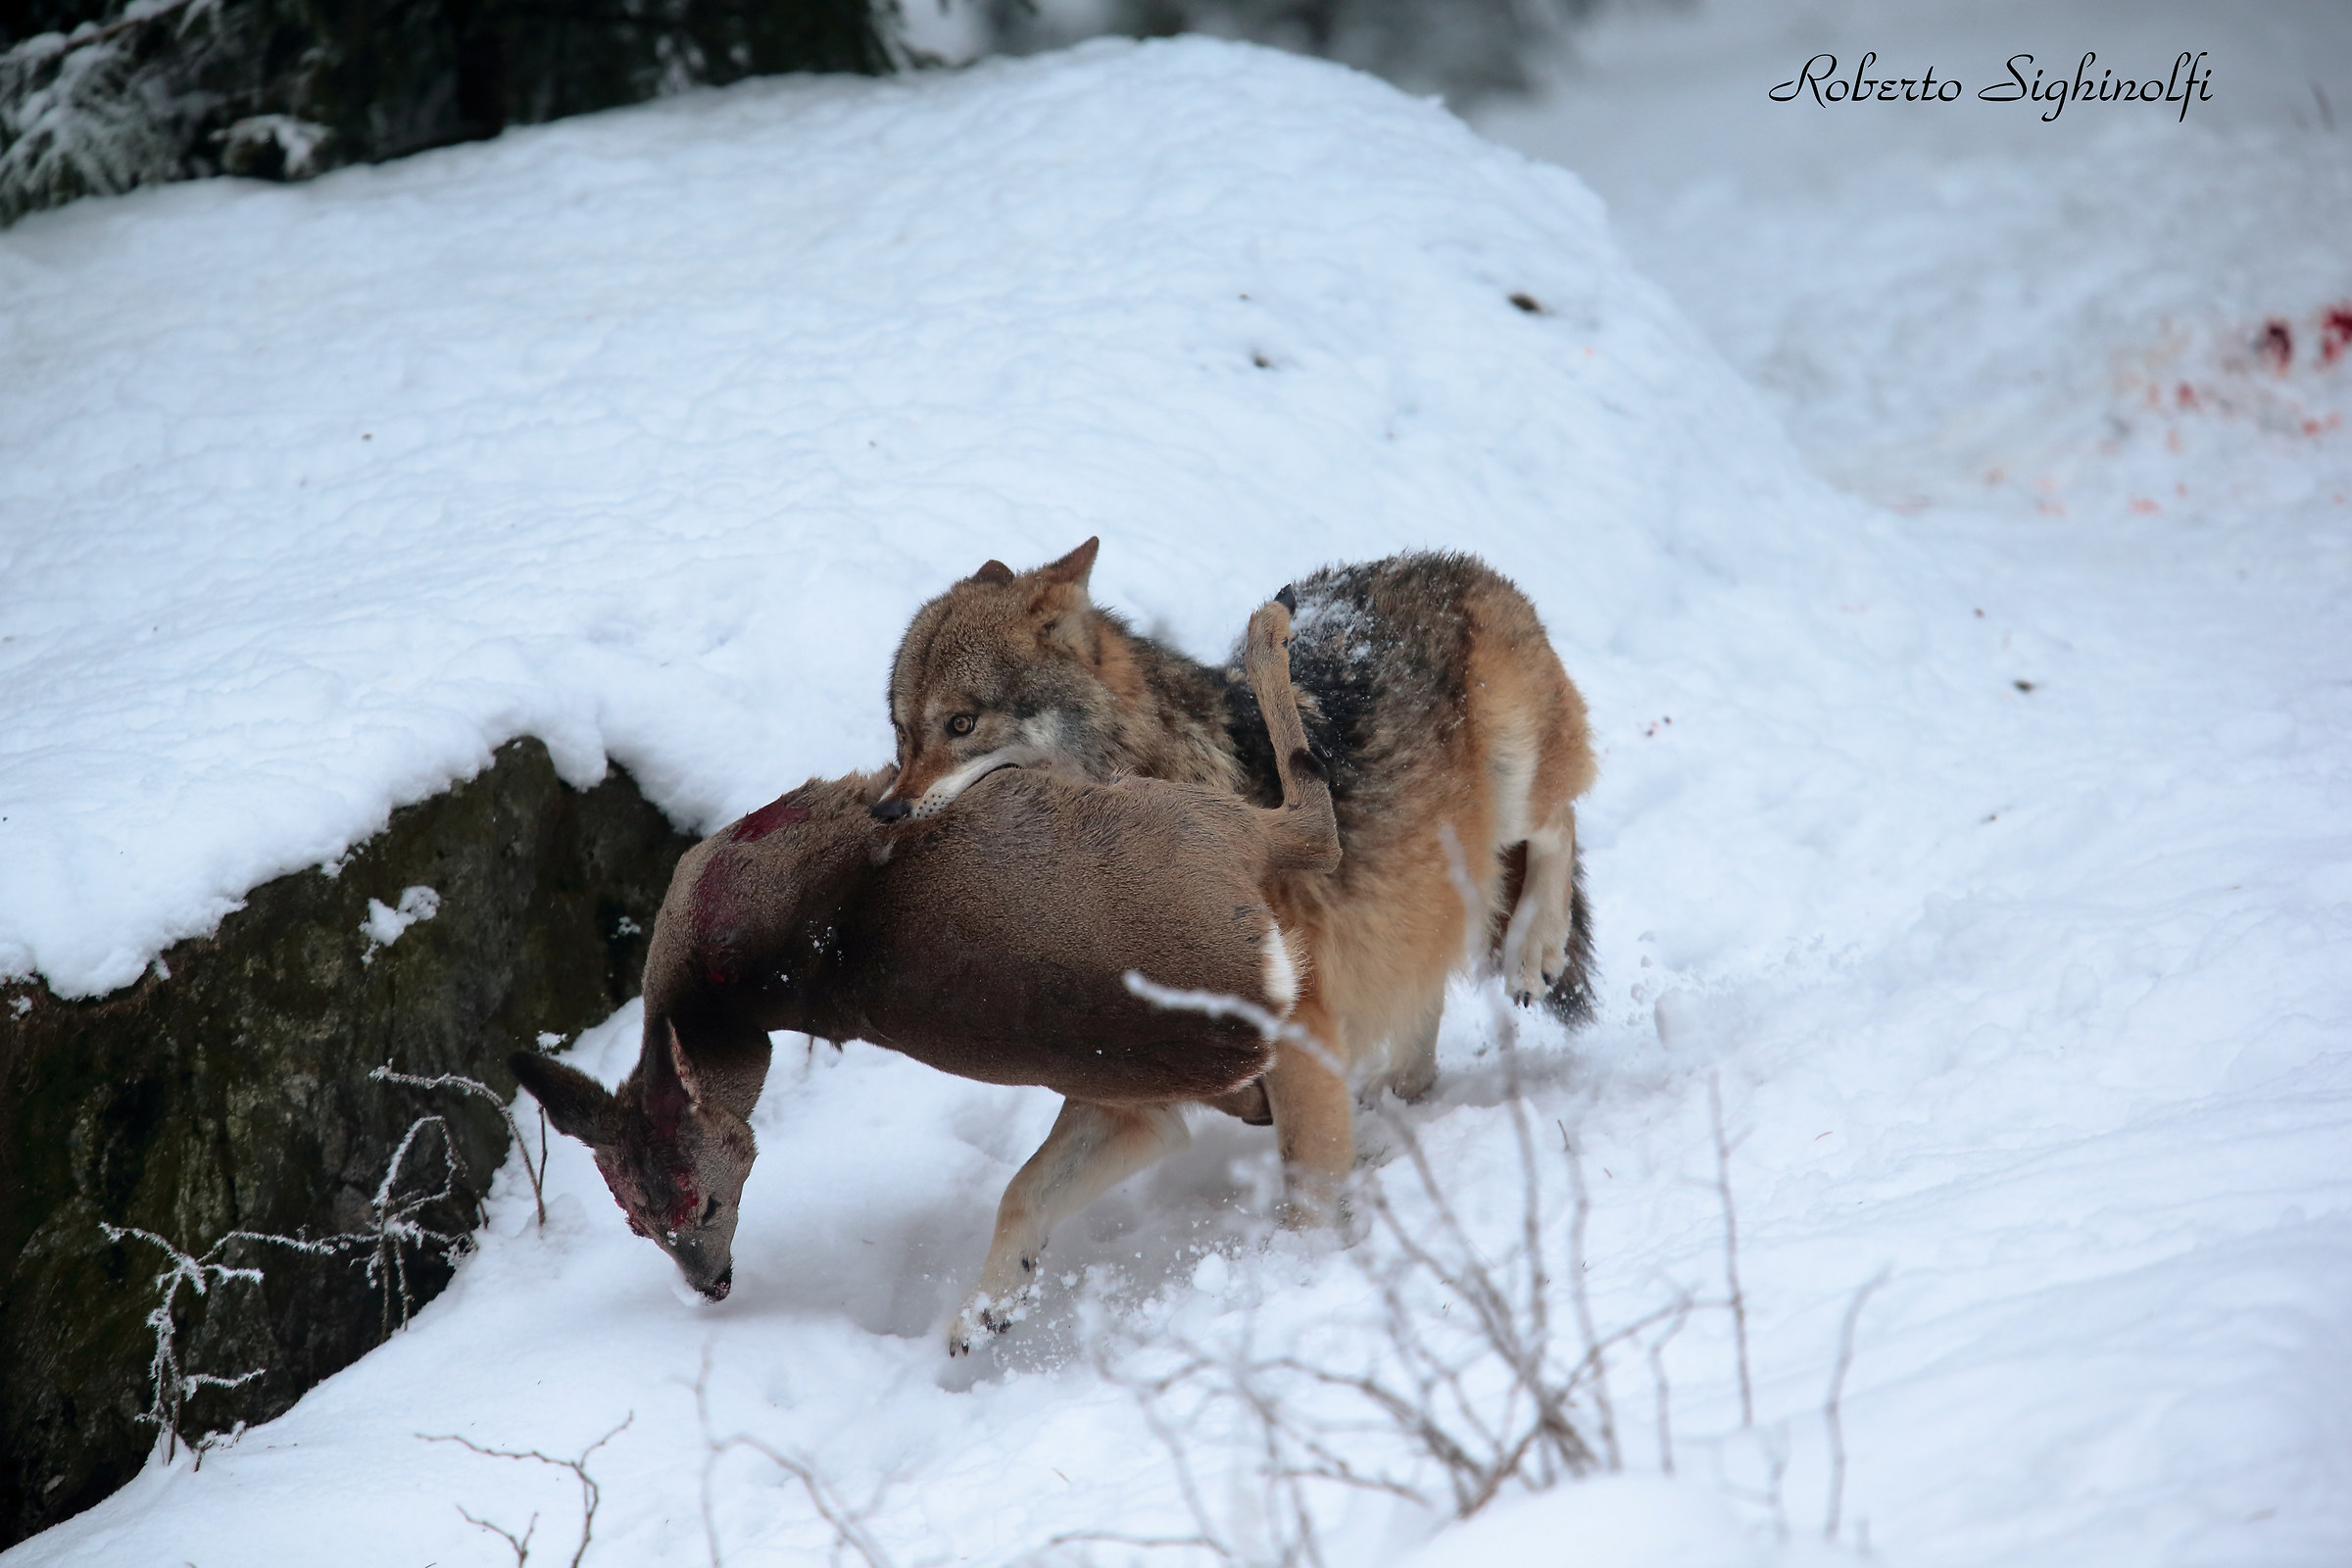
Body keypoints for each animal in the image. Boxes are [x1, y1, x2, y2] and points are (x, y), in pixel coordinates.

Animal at [879, 540, 1599, 1212]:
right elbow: (1025, 1198)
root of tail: (1445, 561)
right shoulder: (1135, 1072)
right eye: (901, 735)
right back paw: (1401, 1089)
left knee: (1557, 824)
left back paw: (1535, 952)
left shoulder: (1296, 1030)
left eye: (962, 723)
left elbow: (1307, 1183)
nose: (886, 811)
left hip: (1512, 779)